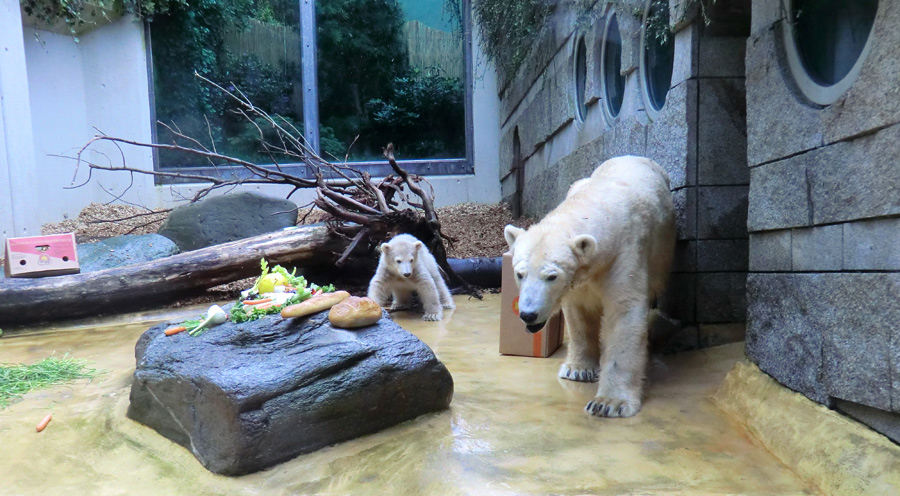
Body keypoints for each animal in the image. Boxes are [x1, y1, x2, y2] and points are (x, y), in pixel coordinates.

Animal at [502, 155, 672, 418]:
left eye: (551, 276)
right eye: (520, 274)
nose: (528, 314)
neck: (599, 202)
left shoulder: (626, 255)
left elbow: (624, 313)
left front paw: (609, 403)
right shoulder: (580, 278)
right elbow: (579, 312)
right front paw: (578, 369)